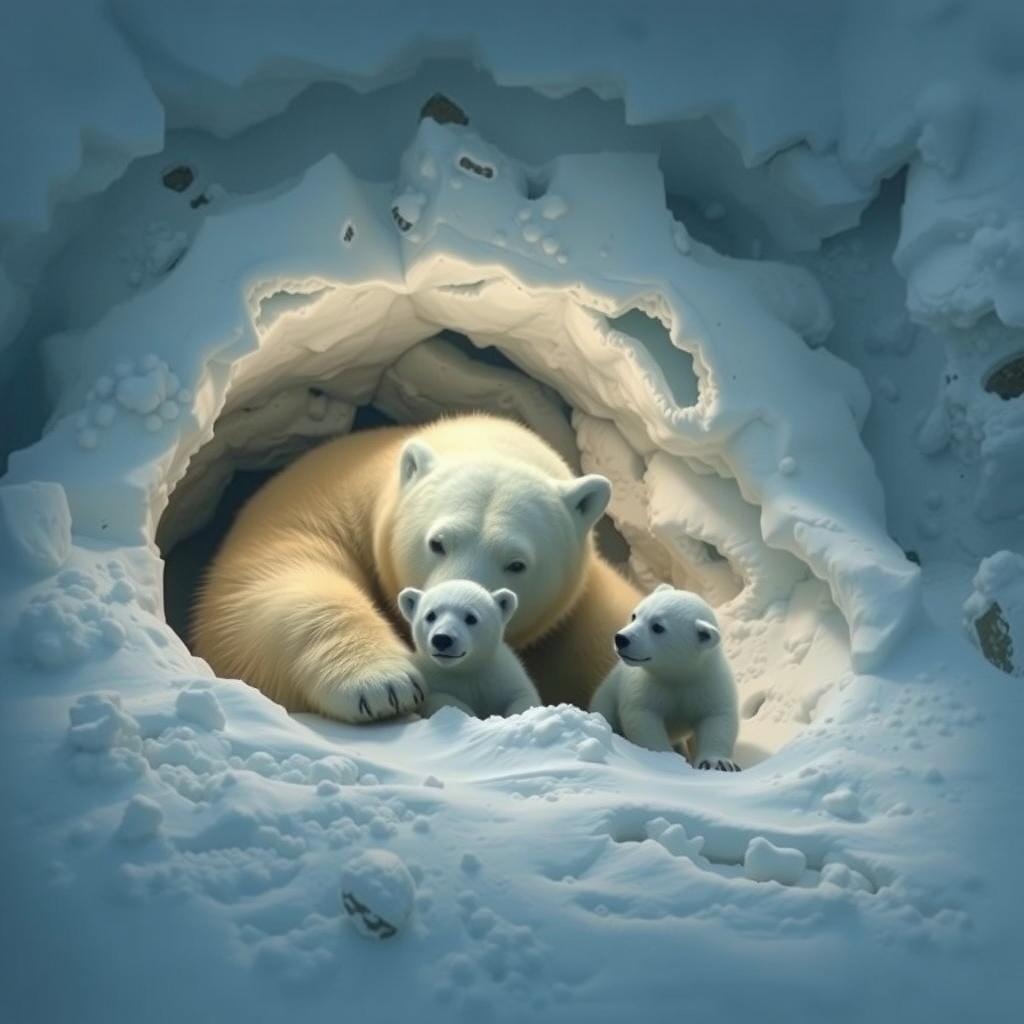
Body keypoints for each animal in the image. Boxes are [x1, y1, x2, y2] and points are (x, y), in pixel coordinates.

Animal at [398, 579, 541, 718]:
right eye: (431, 615)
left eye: (471, 618)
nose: (442, 639)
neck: (464, 670)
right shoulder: (430, 677)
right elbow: (439, 699)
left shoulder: (501, 676)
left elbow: (522, 696)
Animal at [588, 584, 741, 771]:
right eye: (634, 615)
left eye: (657, 627)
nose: (621, 639)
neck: (678, 675)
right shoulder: (646, 684)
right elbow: (643, 717)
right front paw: (667, 759)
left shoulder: (709, 682)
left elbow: (718, 718)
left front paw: (717, 763)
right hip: (606, 698)